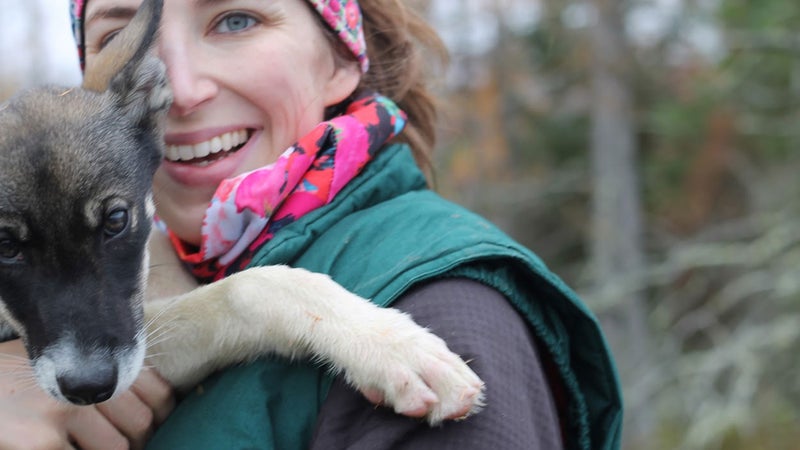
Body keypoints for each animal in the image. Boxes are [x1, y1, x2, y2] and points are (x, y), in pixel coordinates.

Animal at [0, 0, 482, 426]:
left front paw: (385, 340)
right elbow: (250, 288)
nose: (89, 387)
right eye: (4, 246)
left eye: (116, 221)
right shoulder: (149, 347)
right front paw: (393, 347)